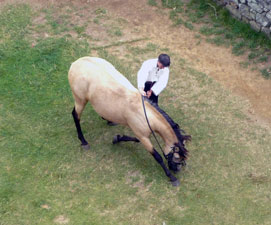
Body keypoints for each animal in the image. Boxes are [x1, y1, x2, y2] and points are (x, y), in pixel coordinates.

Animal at [67, 56, 191, 186]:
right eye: (177, 158)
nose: (177, 169)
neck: (145, 113)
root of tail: (76, 63)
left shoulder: (140, 133)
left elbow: (134, 139)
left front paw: (117, 138)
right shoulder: (143, 136)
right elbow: (157, 156)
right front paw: (172, 177)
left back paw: (108, 120)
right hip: (80, 100)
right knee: (75, 116)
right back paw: (83, 141)